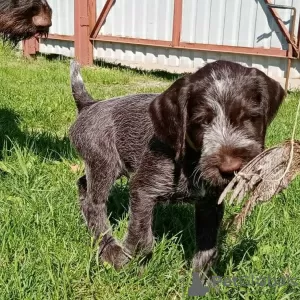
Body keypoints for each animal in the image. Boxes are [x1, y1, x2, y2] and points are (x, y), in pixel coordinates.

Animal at [68, 59, 286, 278]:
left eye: (249, 117)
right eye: (201, 121)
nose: (230, 168)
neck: (191, 161)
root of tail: (89, 105)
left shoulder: (210, 203)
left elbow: (208, 247)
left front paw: (200, 278)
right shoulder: (143, 189)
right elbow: (142, 240)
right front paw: (128, 262)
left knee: (83, 184)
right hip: (104, 164)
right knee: (94, 204)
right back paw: (109, 249)